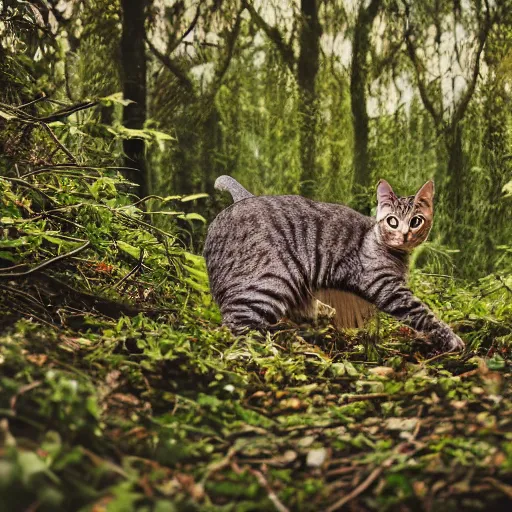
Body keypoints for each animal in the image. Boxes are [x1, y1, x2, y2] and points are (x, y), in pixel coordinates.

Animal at [203, 176, 464, 352]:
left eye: (416, 221)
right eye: (392, 221)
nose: (404, 235)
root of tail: (243, 199)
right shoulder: (388, 288)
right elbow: (422, 313)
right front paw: (451, 339)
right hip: (264, 285)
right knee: (238, 328)